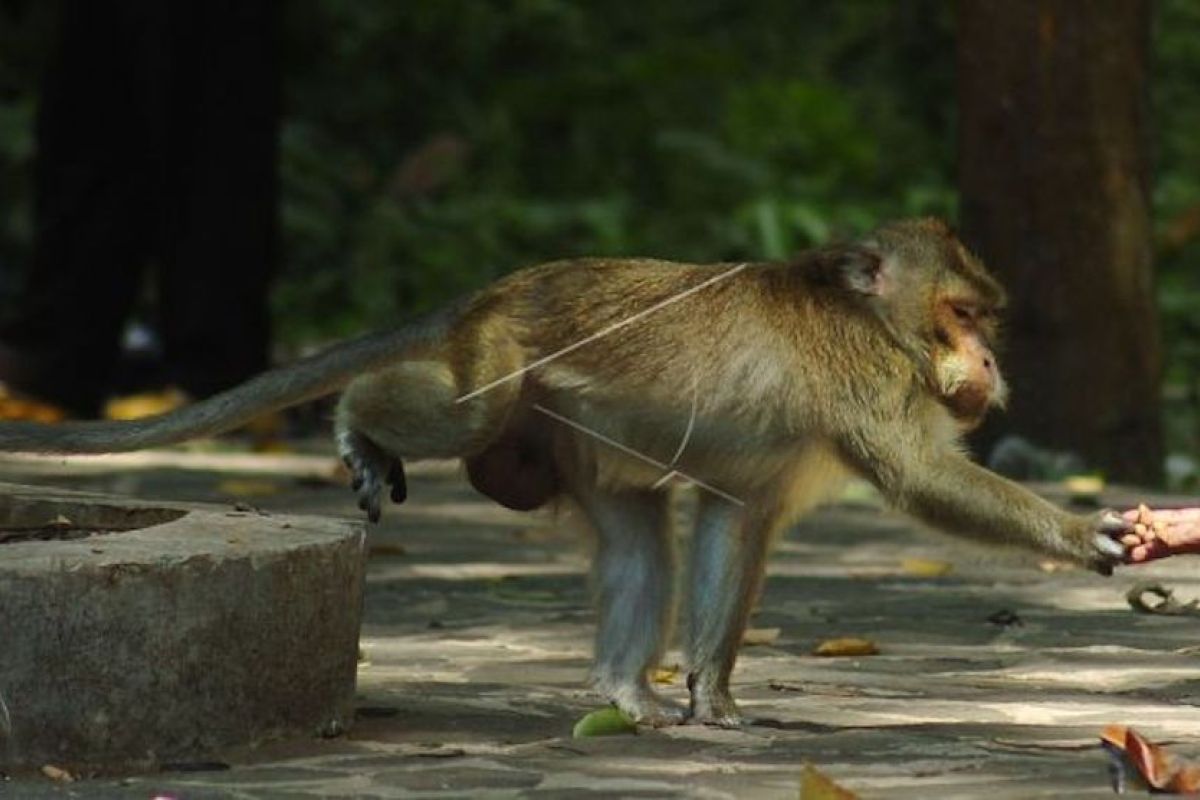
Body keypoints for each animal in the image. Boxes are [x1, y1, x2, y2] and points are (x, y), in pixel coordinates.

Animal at [0, 219, 1132, 734]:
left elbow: (734, 521)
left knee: (639, 537)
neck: (872, 319)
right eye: (962, 315)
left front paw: (712, 694)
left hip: (567, 432)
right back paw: (360, 422)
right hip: (506, 367)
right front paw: (1084, 534)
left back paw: (624, 689)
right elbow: (918, 477)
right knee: (460, 409)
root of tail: (491, 292)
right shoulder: (868, 381)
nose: (987, 364)